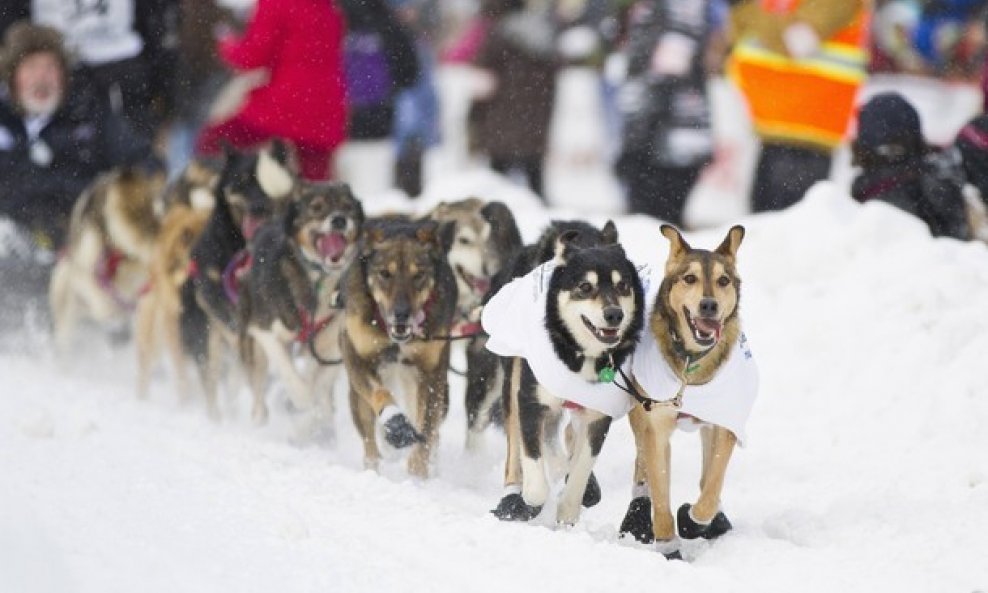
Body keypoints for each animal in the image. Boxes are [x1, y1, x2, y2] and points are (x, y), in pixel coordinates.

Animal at [340, 216, 456, 476]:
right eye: (385, 273)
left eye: (418, 274)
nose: (401, 314)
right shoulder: (358, 357)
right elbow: (379, 392)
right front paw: (396, 423)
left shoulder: (430, 374)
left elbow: (426, 428)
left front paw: (418, 473)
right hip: (358, 398)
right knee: (369, 440)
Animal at [620, 224, 760, 556]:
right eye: (690, 278)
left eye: (723, 280)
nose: (708, 305)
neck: (691, 362)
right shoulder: (656, 425)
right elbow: (660, 494)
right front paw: (668, 545)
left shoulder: (725, 423)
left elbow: (711, 486)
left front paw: (694, 520)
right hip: (639, 412)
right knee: (642, 464)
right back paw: (637, 515)